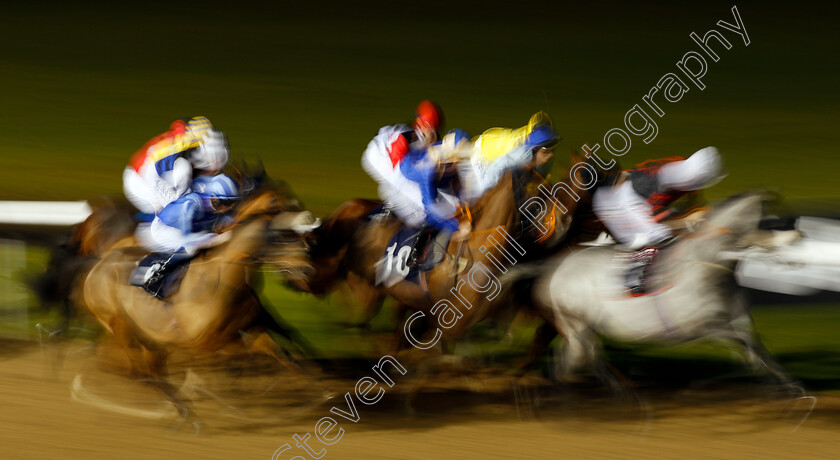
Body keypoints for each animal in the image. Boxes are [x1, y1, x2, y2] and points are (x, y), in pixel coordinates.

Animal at [528, 192, 796, 390]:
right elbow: (748, 348)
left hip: (581, 326)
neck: (707, 268)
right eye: (772, 222)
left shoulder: (737, 319)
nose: (797, 235)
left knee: (574, 357)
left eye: (785, 218)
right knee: (579, 357)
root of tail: (555, 267)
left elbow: (758, 348)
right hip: (576, 320)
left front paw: (790, 385)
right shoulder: (704, 327)